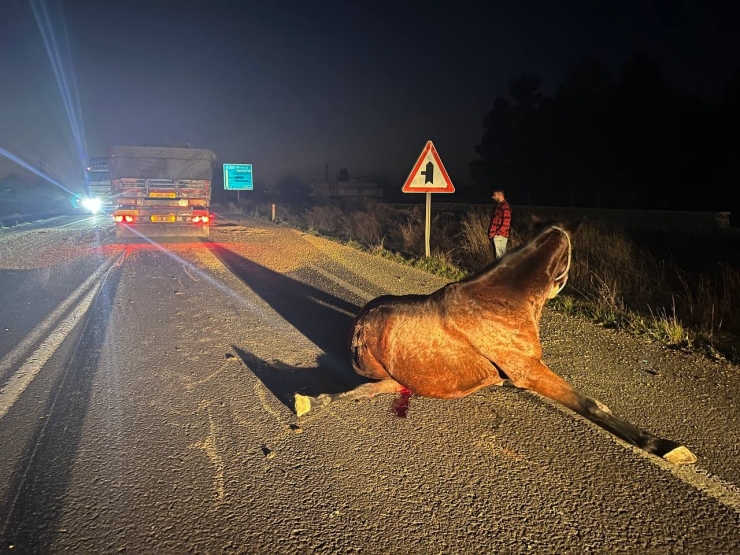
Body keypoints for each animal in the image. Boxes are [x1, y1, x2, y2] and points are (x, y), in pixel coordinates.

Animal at [294, 222, 692, 464]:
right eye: (568, 256)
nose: (563, 285)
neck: (503, 300)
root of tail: (358, 323)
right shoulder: (528, 370)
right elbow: (591, 404)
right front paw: (665, 447)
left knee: (370, 389)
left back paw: (313, 400)